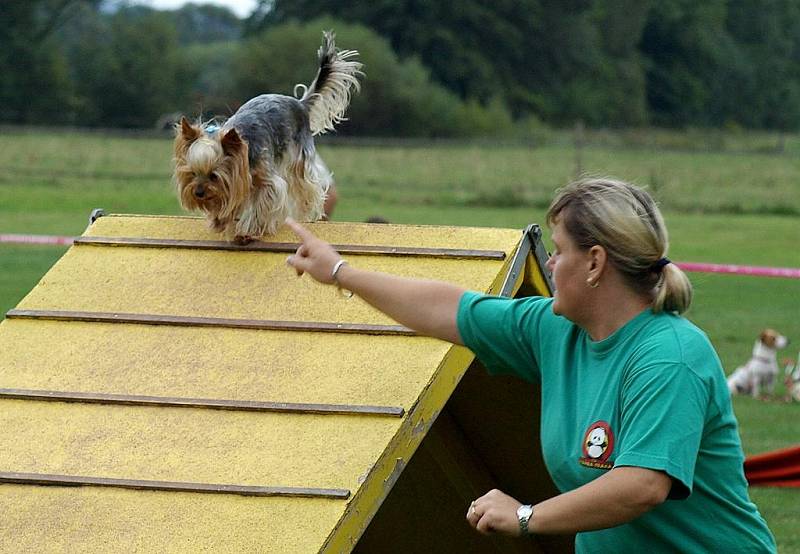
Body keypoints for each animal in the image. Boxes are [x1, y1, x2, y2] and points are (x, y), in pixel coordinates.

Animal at [177, 31, 364, 243]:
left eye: (214, 175)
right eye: (192, 173)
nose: (198, 193)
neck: (244, 151)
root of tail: (299, 103)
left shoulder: (268, 181)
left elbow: (263, 203)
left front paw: (248, 230)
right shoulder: (237, 182)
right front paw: (220, 221)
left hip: (299, 158)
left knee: (307, 186)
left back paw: (307, 212)